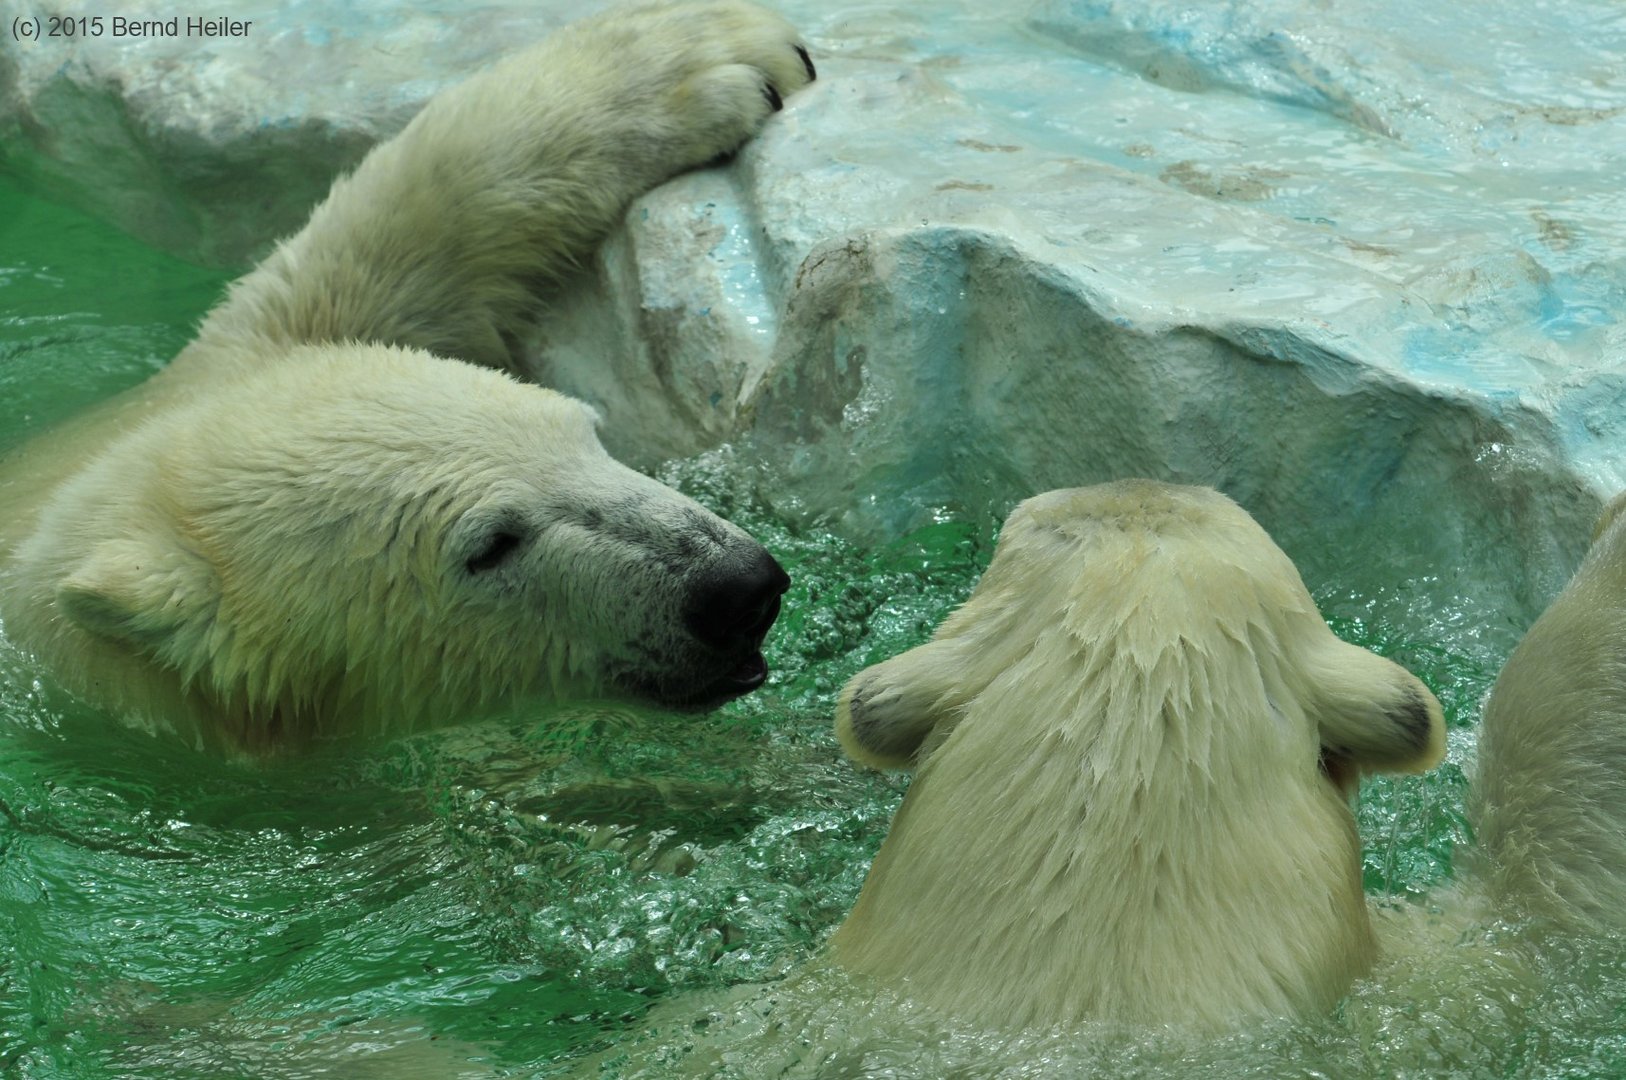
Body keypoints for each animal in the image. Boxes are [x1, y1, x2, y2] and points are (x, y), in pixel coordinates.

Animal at [0, 2, 813, 751]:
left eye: (587, 435)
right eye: (490, 546)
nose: (737, 587)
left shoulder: (227, 360)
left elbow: (403, 228)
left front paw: (724, 50)